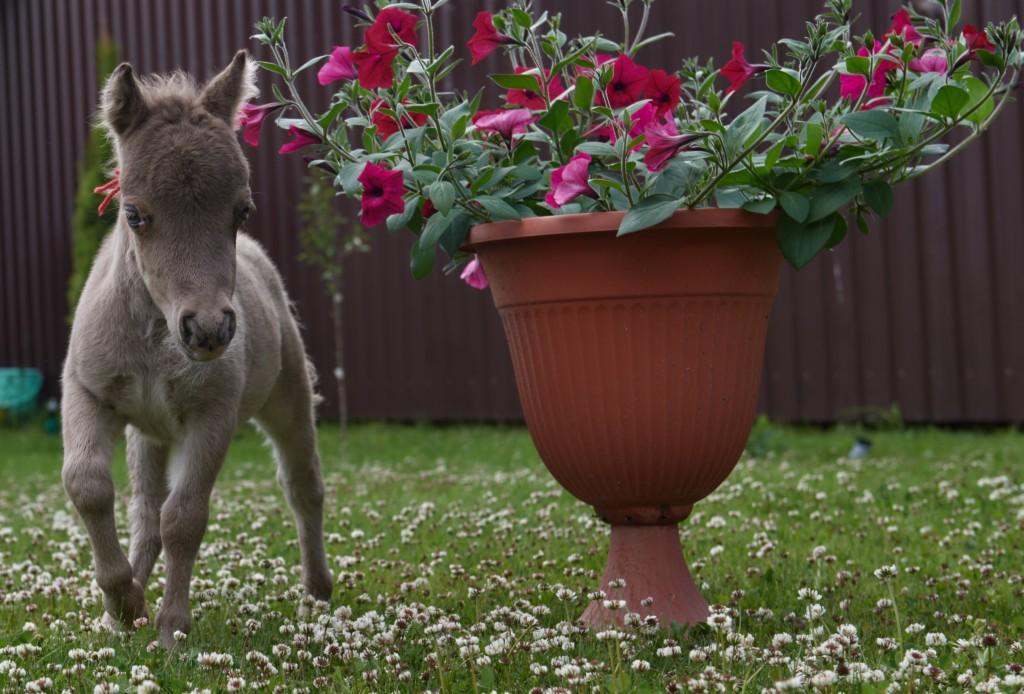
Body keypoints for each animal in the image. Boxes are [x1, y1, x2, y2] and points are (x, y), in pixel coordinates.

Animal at [61, 51, 331, 651]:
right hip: (148, 434)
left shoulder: (212, 415)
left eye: (242, 211)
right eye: (134, 214)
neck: (152, 335)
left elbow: (184, 518)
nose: (208, 329)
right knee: (144, 511)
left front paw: (170, 628)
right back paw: (128, 603)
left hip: (287, 401)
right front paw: (123, 601)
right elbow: (89, 486)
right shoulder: (87, 394)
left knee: (303, 487)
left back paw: (318, 593)